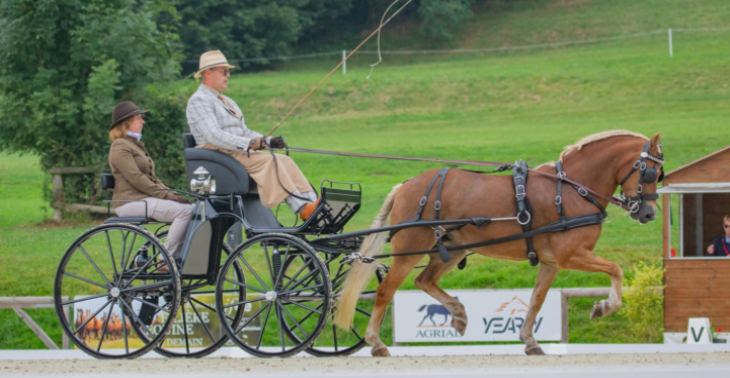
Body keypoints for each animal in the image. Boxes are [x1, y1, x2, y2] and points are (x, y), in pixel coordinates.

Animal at [332, 131, 664, 358]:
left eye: (659, 174)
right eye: (649, 171)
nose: (649, 213)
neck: (571, 189)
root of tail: (406, 185)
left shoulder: (551, 262)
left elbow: (537, 299)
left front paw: (530, 340)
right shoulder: (571, 255)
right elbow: (616, 269)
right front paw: (606, 306)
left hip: (451, 250)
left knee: (424, 280)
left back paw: (459, 314)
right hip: (408, 253)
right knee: (386, 290)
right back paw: (376, 343)